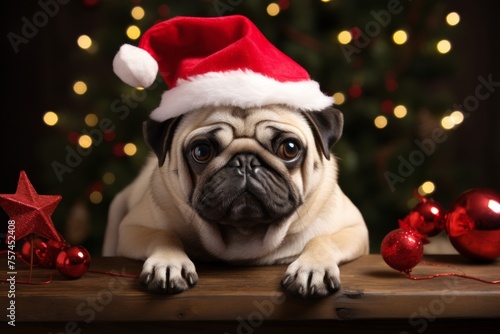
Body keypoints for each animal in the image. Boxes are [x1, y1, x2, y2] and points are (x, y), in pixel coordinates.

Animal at [102, 103, 368, 296]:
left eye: (290, 148)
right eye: (201, 151)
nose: (245, 161)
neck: (245, 234)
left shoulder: (354, 228)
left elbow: (322, 239)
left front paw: (312, 267)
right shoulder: (132, 228)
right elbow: (163, 235)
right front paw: (168, 264)